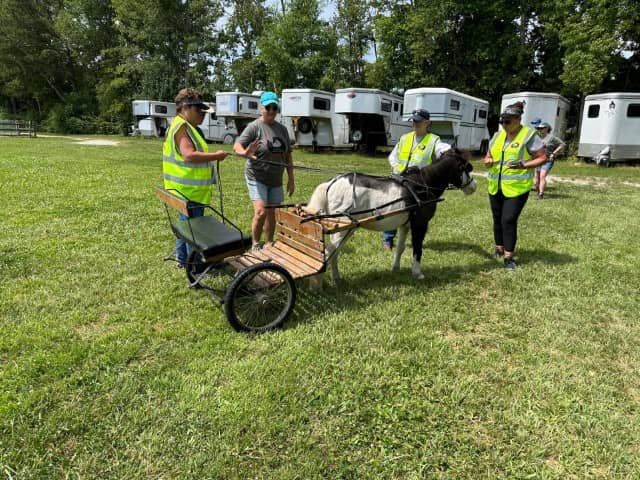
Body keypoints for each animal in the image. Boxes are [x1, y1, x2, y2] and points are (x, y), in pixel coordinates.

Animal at [304, 147, 476, 282]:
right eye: (467, 168)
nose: (474, 186)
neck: (423, 185)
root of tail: (331, 183)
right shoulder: (420, 224)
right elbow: (417, 248)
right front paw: (417, 273)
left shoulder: (405, 225)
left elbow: (400, 247)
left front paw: (396, 267)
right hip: (342, 229)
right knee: (328, 253)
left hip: (346, 228)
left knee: (334, 252)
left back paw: (336, 278)